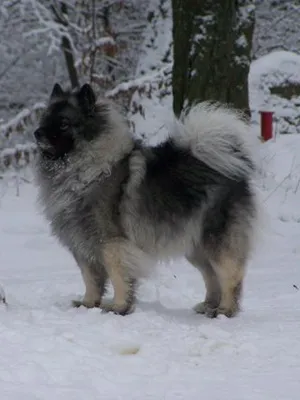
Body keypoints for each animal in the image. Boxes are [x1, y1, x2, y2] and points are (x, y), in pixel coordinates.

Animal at [32, 83, 258, 318]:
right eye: (45, 119)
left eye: (63, 123)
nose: (37, 133)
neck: (86, 171)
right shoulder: (82, 244)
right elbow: (91, 279)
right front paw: (88, 304)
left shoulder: (111, 243)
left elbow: (118, 277)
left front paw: (119, 307)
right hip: (196, 247)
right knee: (211, 276)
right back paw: (208, 305)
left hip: (216, 241)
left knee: (230, 276)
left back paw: (225, 310)